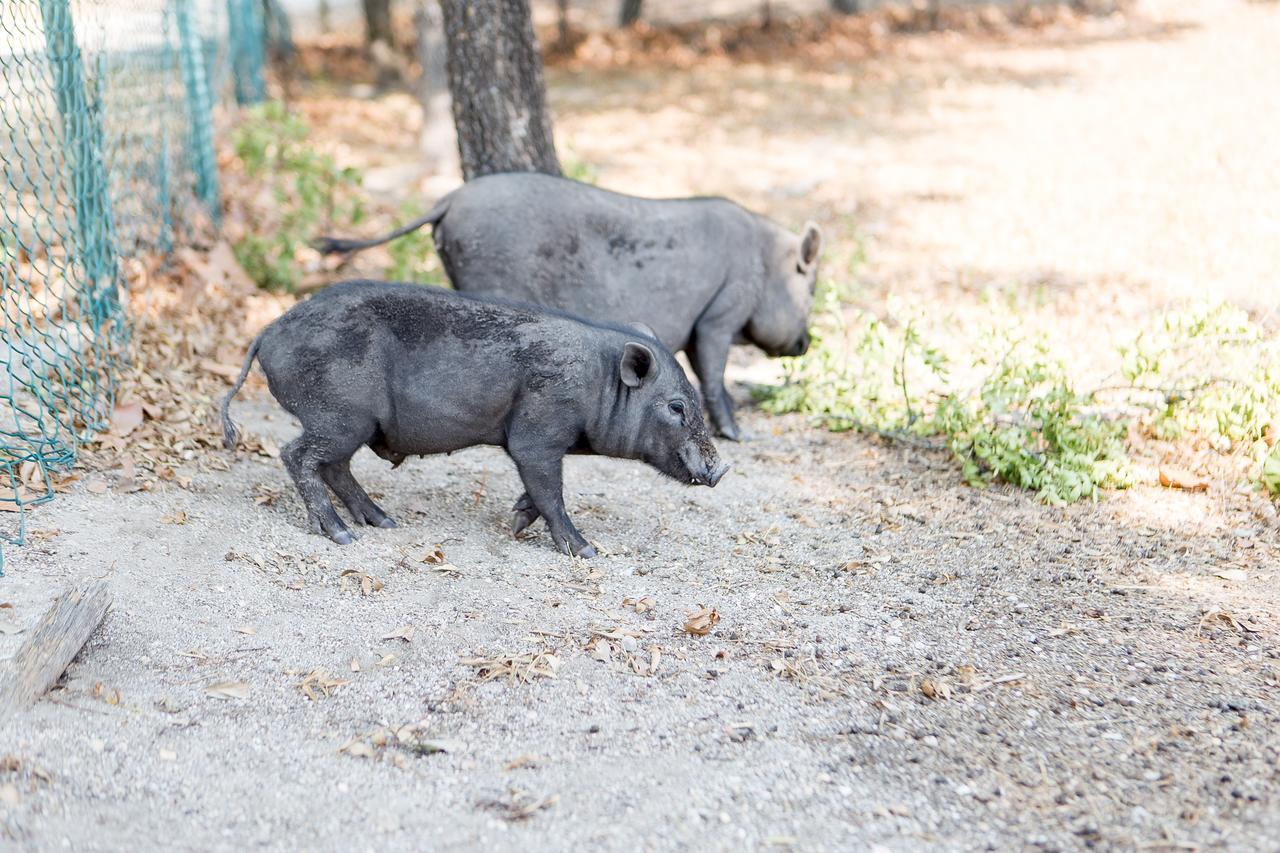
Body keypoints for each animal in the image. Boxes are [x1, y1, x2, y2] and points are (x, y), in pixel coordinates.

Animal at [220, 281, 732, 555]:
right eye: (676, 407)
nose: (721, 469)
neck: (596, 382)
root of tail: (267, 332)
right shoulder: (538, 432)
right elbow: (552, 491)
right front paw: (585, 550)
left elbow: (540, 490)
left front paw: (517, 521)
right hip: (340, 414)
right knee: (297, 455)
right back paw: (343, 537)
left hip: (348, 422)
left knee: (334, 467)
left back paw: (383, 523)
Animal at [314, 171, 824, 438]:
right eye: (813, 288)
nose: (807, 343)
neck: (766, 262)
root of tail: (450, 198)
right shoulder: (720, 314)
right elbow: (713, 372)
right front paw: (737, 434)